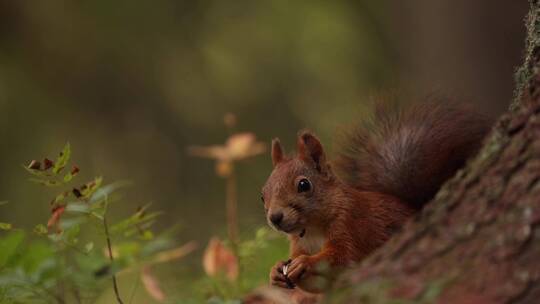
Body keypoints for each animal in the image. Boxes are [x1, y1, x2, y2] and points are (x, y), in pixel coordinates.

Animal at [262, 100, 494, 292]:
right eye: (262, 195)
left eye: (304, 184)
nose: (275, 217)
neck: (312, 230)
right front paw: (275, 270)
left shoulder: (351, 226)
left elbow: (341, 257)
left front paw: (305, 262)